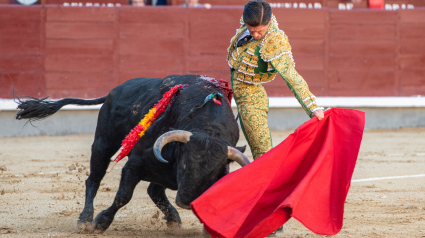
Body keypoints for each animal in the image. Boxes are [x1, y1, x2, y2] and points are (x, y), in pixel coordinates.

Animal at [14, 74, 250, 232]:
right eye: (184, 164)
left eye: (212, 173)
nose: (185, 200)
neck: (207, 126)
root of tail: (114, 90)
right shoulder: (134, 165)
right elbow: (123, 196)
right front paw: (100, 223)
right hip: (102, 145)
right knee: (93, 180)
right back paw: (85, 219)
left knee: (154, 190)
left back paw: (173, 220)